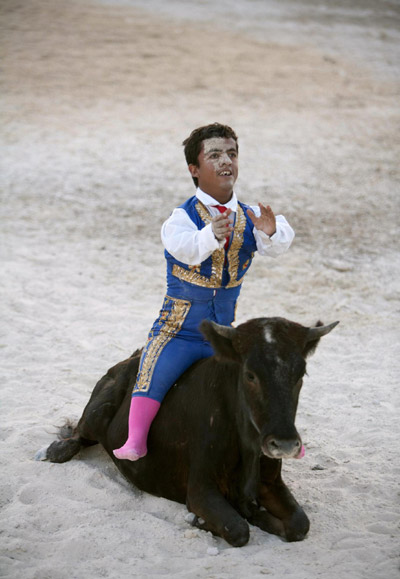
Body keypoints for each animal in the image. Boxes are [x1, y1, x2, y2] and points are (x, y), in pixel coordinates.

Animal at [38, 318, 338, 548]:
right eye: (251, 374)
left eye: (300, 374)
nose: (285, 444)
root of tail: (133, 358)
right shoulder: (200, 488)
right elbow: (237, 529)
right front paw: (207, 520)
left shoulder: (270, 482)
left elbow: (299, 524)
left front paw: (256, 513)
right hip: (98, 411)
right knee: (80, 432)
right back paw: (57, 449)